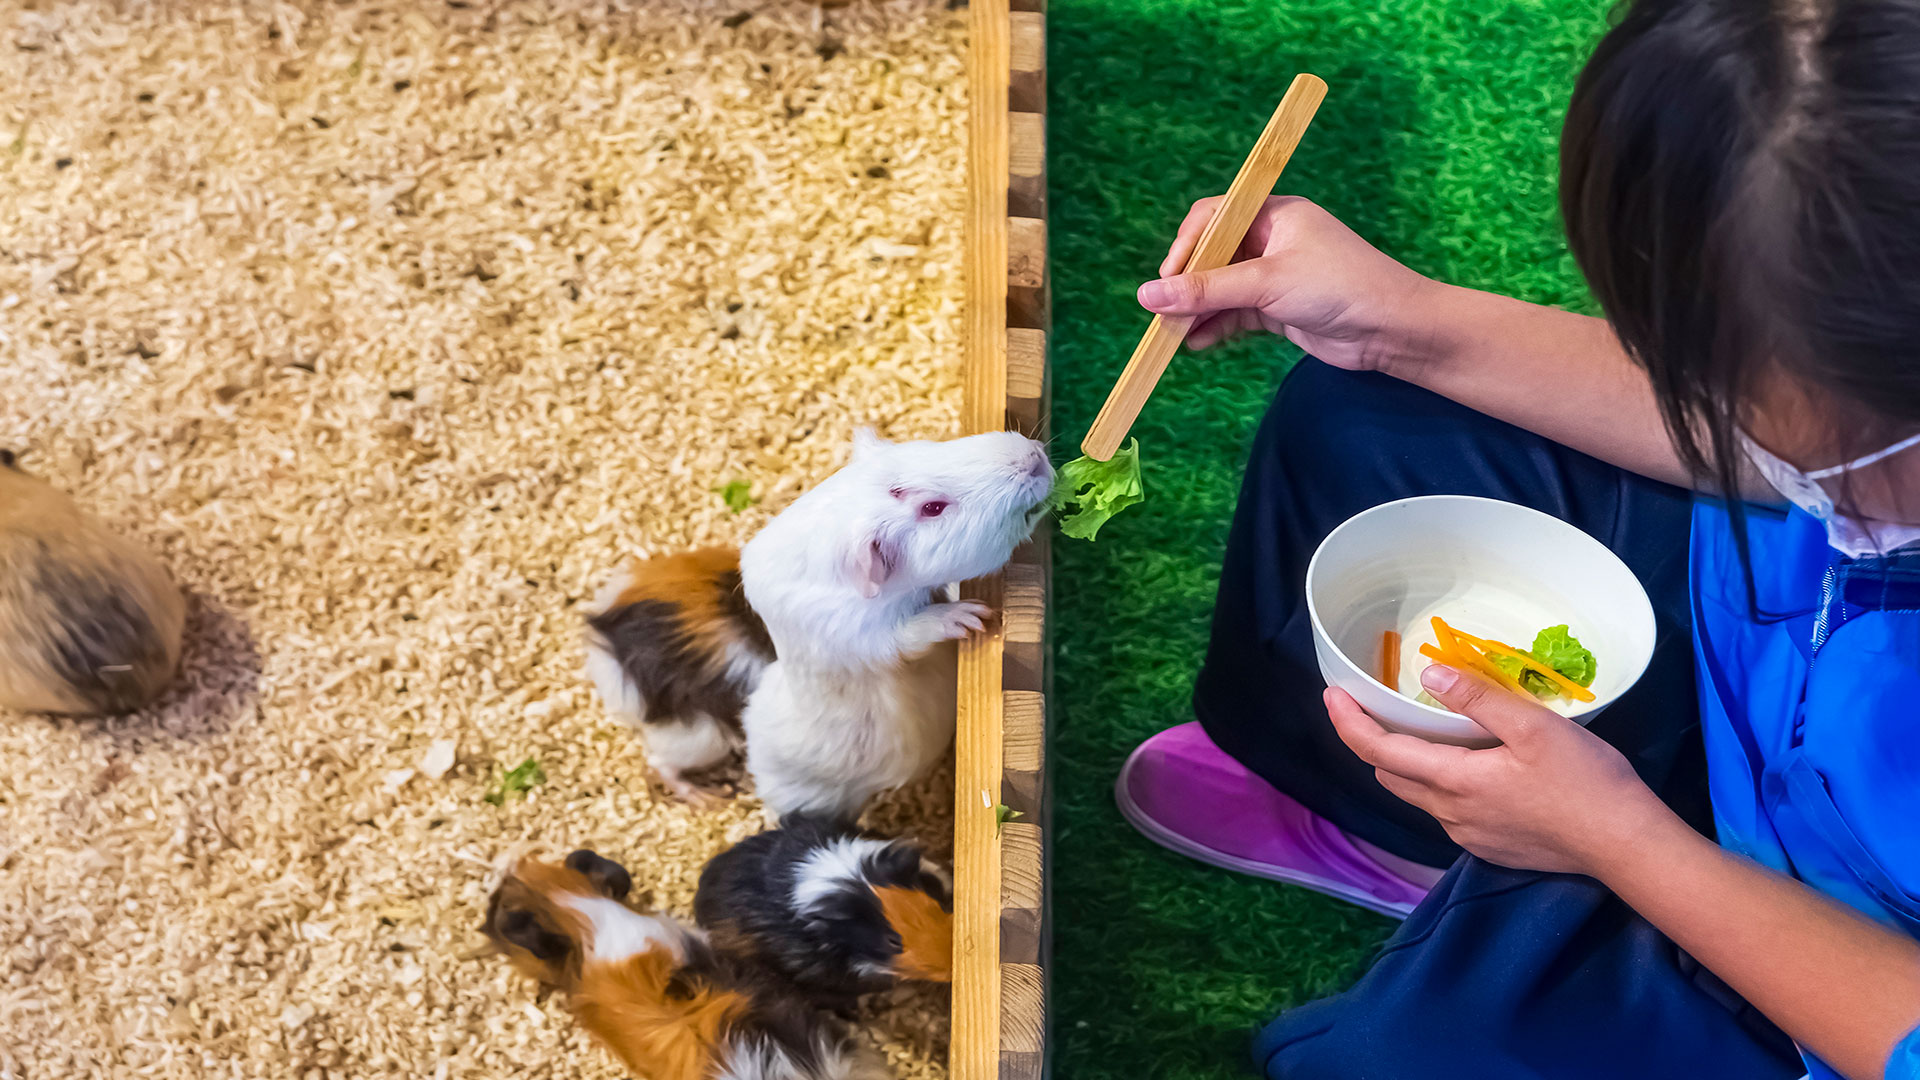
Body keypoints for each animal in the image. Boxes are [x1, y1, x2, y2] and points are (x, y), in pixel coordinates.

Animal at [739, 427, 1053, 823]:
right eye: (932, 508)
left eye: (926, 450)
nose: (1034, 457)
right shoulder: (867, 639)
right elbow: (910, 634)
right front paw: (971, 617)